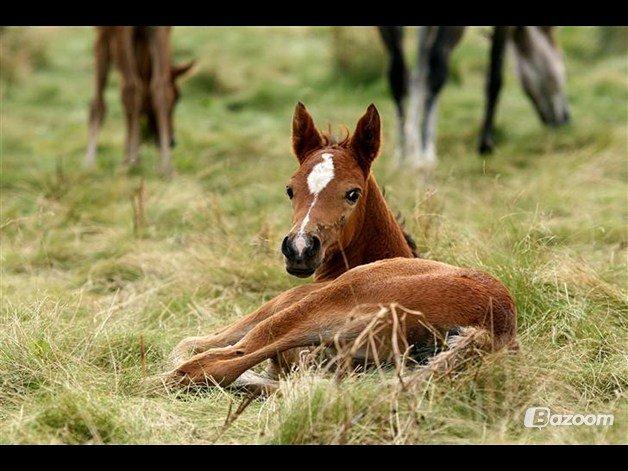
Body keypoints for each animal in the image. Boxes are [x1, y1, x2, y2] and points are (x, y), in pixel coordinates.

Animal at [85, 27, 194, 175]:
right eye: (177, 97)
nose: (172, 141)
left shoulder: (102, 33)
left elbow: (98, 102)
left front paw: (89, 163)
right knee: (160, 86)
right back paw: (166, 166)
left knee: (132, 87)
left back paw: (133, 162)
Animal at [378, 26, 568, 170]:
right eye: (562, 73)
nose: (566, 118)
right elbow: (494, 79)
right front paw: (485, 144)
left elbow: (419, 74)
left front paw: (410, 149)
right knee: (436, 68)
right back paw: (425, 154)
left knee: (399, 74)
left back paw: (402, 154)